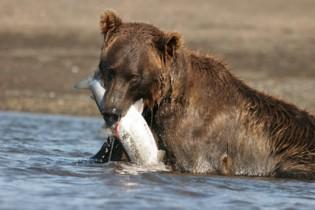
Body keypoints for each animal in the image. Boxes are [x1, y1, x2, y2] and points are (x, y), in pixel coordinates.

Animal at [96, 10, 315, 179]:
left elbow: (194, 162)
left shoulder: (198, 136)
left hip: (296, 155)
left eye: (134, 77)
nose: (111, 111)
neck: (164, 100)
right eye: (110, 70)